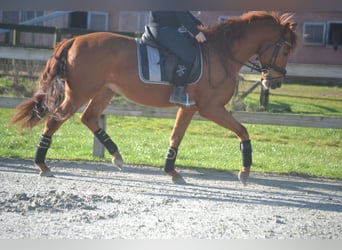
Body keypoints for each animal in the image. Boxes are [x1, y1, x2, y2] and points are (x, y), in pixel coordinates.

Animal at [11, 11, 296, 184]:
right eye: (285, 51)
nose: (275, 81)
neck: (221, 53)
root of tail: (74, 39)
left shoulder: (191, 108)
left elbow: (177, 136)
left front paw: (171, 170)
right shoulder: (208, 108)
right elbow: (241, 131)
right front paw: (244, 172)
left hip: (104, 91)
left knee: (89, 118)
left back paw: (117, 155)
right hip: (80, 92)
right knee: (54, 121)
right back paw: (42, 165)